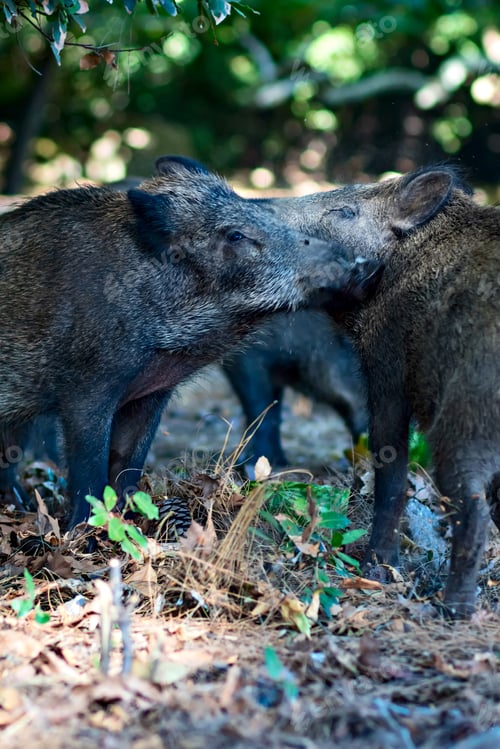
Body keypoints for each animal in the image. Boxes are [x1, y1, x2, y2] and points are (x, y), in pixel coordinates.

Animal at [0, 156, 382, 529]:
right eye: (235, 234)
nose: (363, 265)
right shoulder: (85, 389)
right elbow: (89, 473)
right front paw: (85, 535)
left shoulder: (151, 394)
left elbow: (128, 465)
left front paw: (134, 524)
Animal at [261, 166, 500, 617]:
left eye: (345, 211)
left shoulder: (385, 369)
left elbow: (389, 473)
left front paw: (377, 568)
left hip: (466, 417)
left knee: (472, 507)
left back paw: (454, 608)